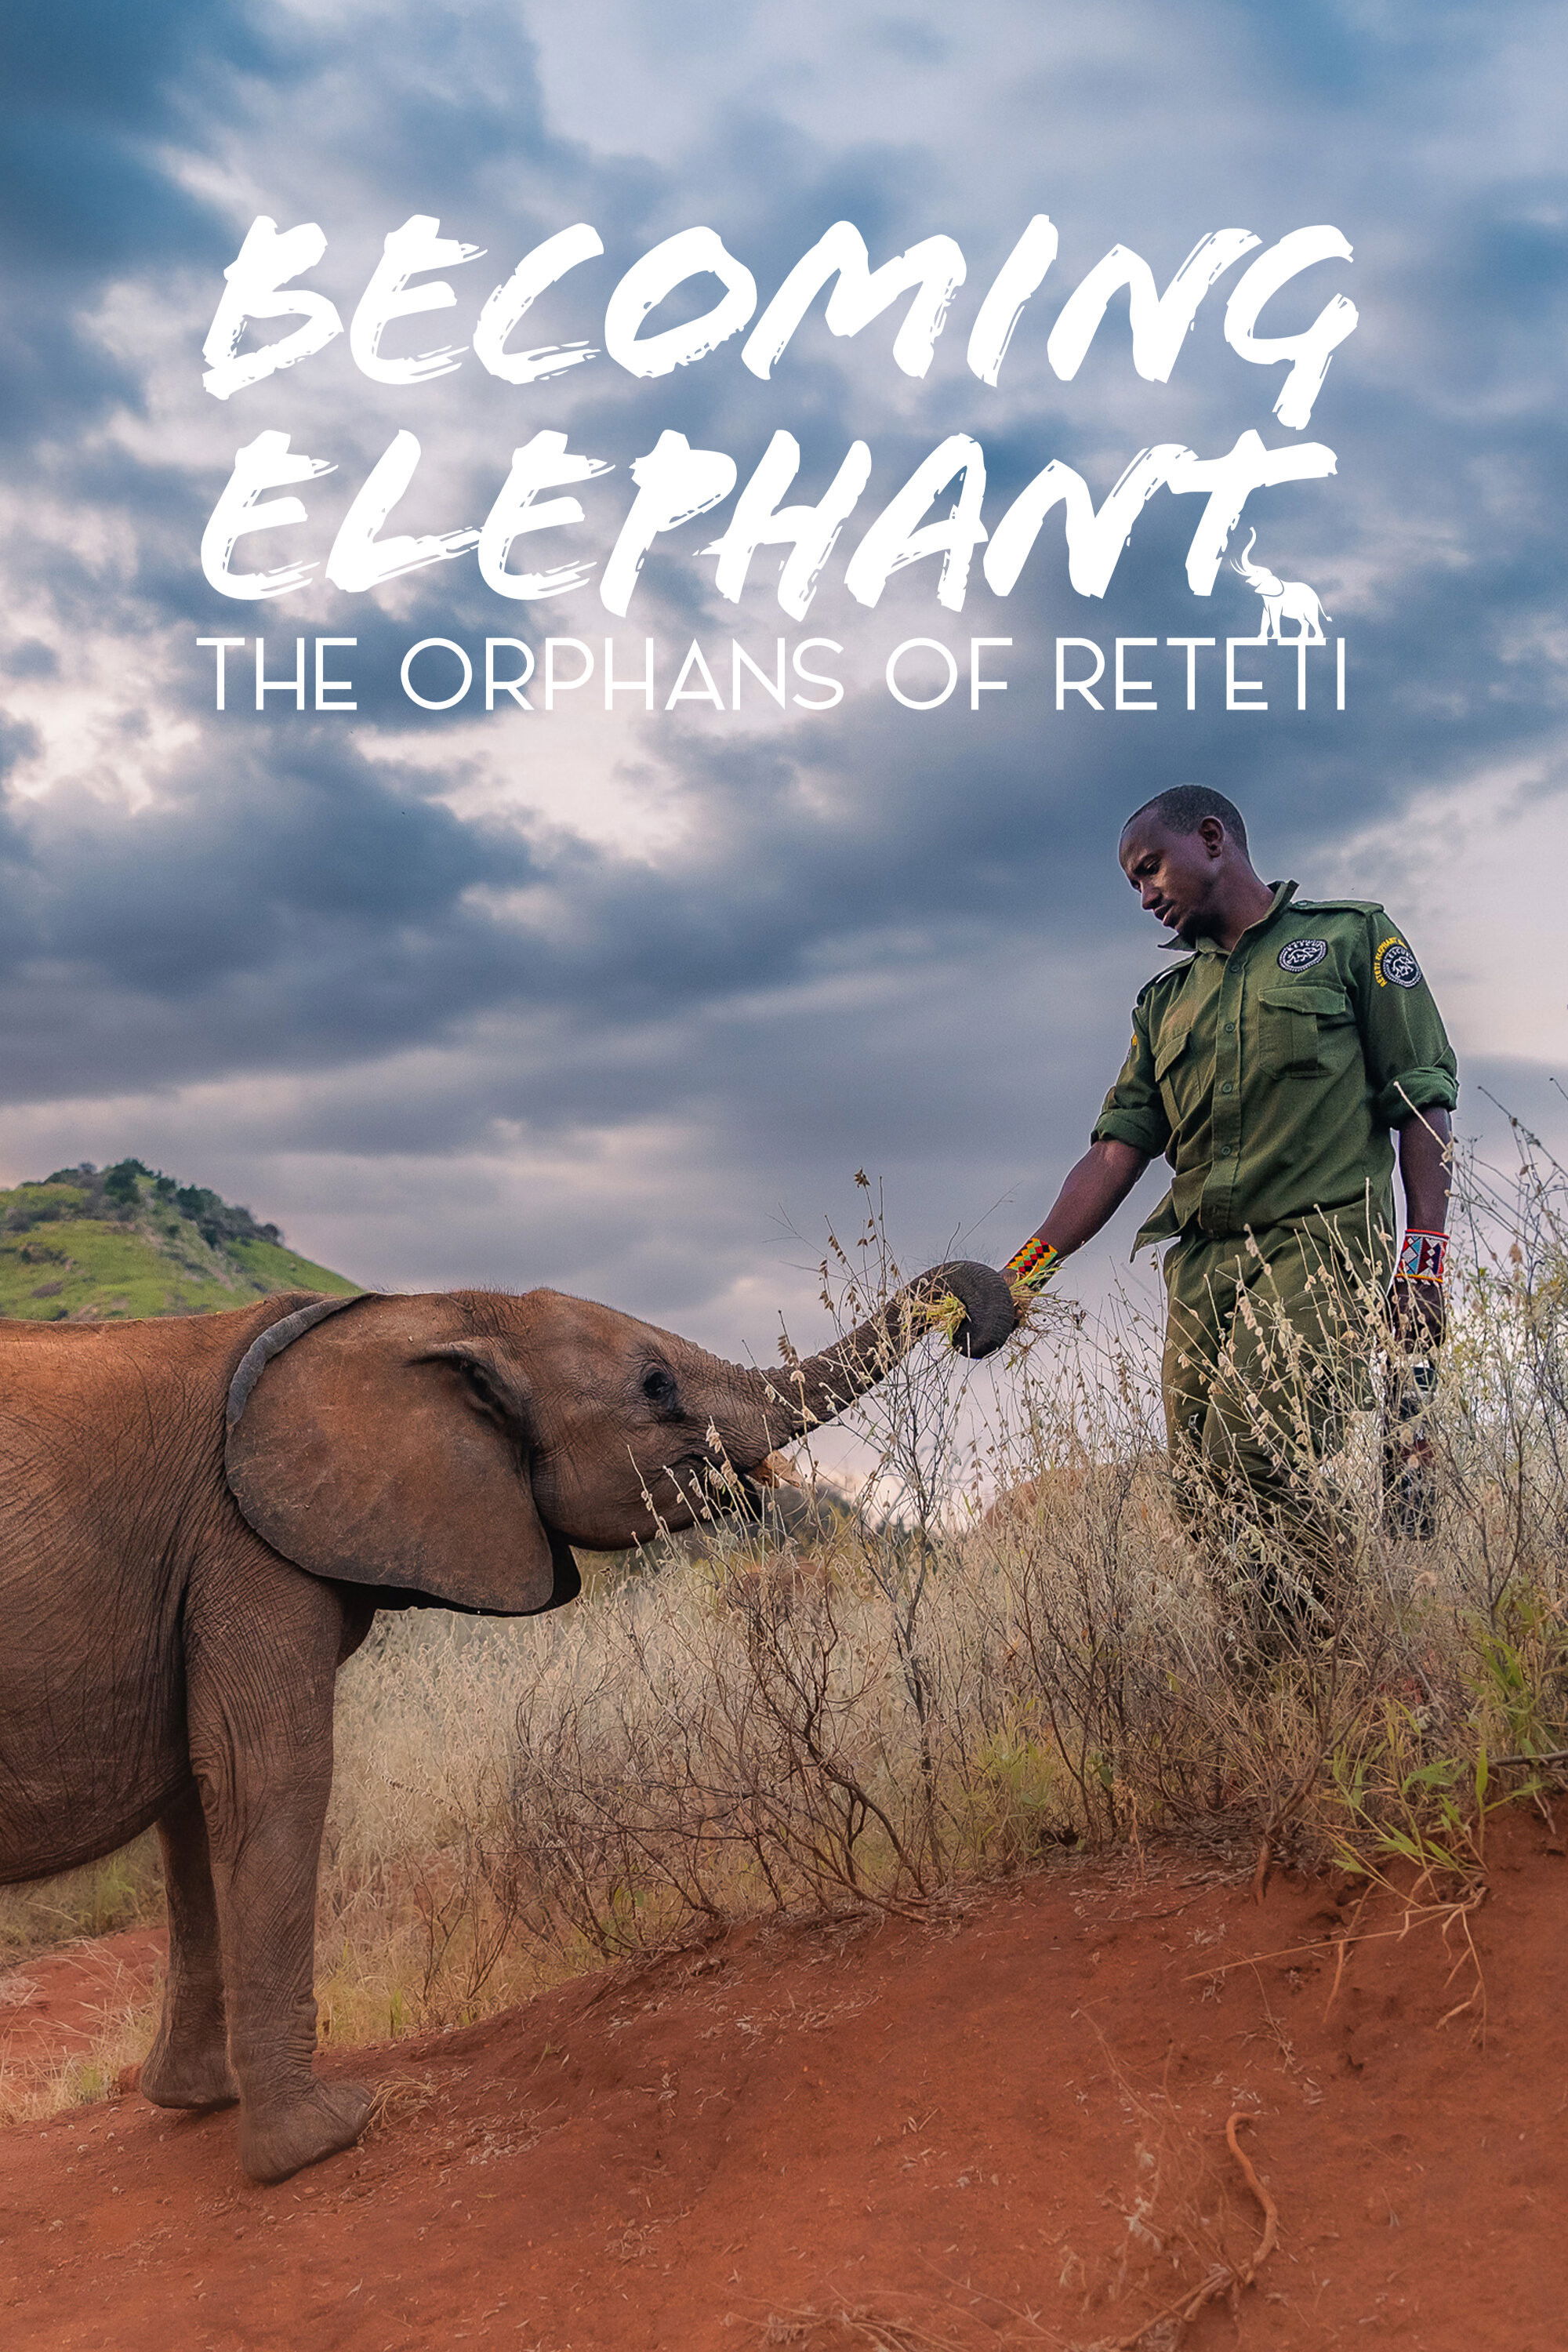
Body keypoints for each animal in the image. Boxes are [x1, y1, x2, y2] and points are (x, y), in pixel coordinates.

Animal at [0, 1260, 1013, 2183]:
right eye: (655, 1386)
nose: (978, 1324)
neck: (430, 1309)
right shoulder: (243, 1546)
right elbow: (265, 1777)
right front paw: (322, 2140)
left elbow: (191, 1804)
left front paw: (198, 2102)